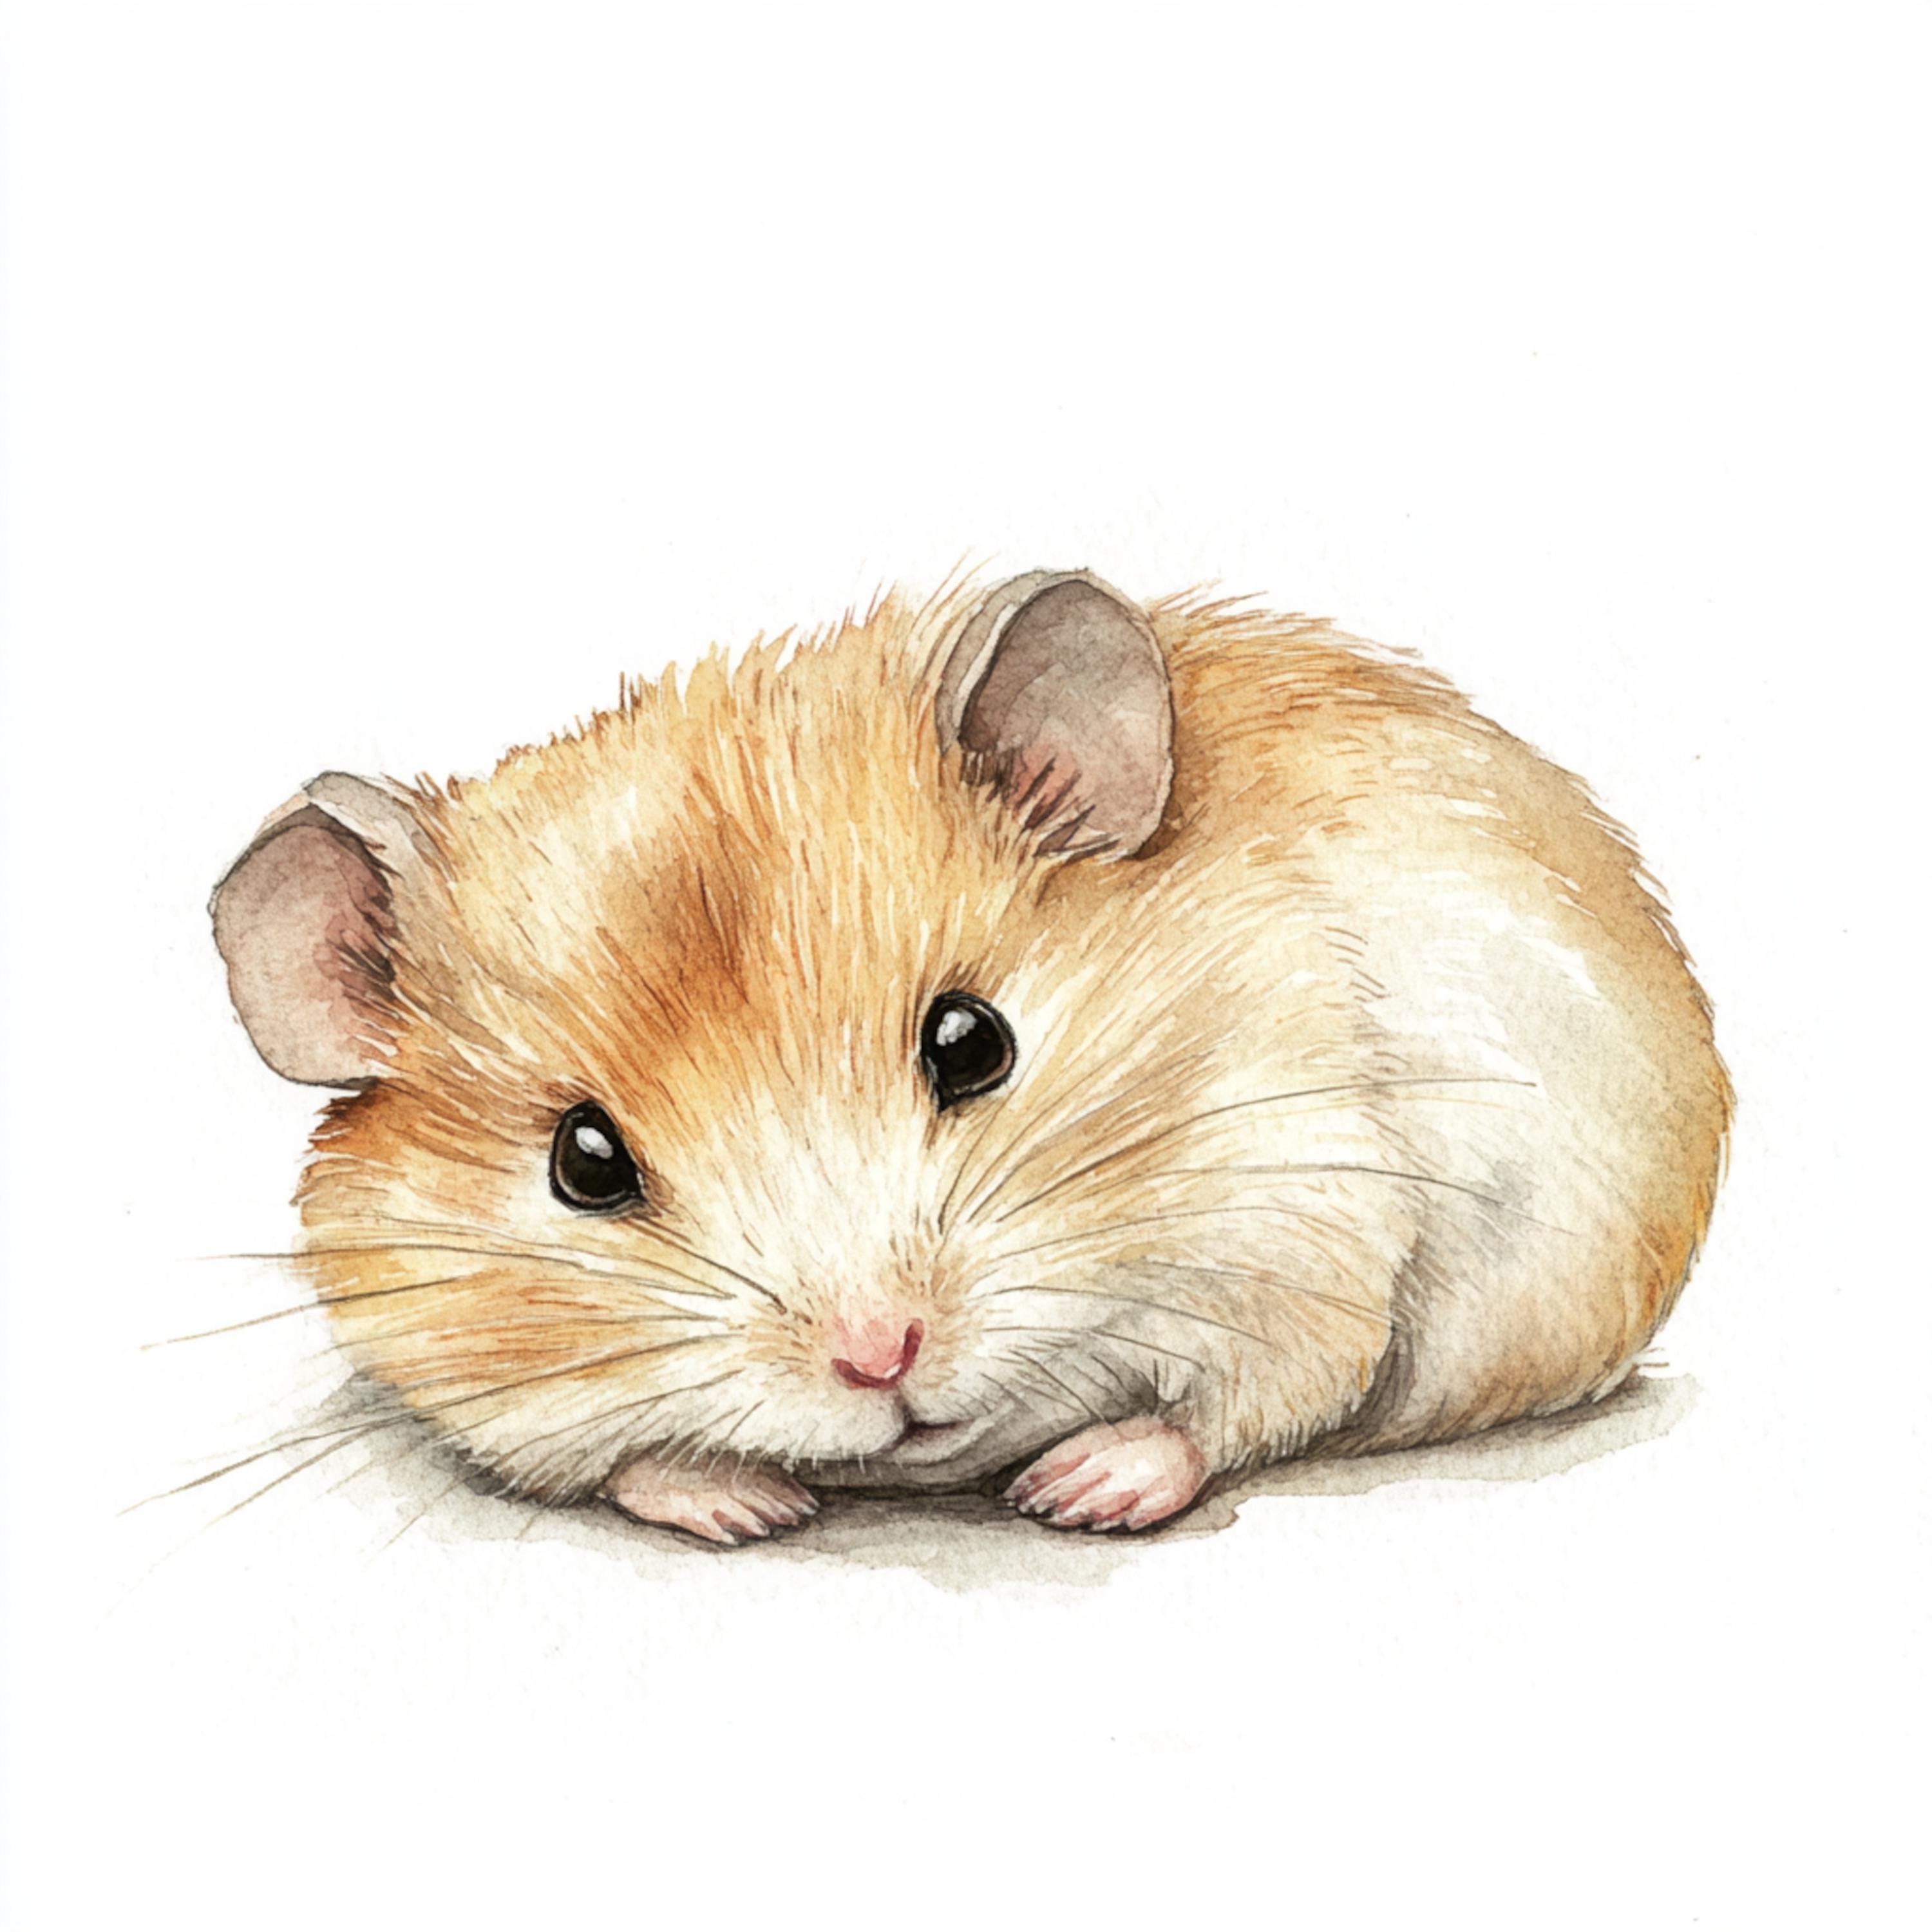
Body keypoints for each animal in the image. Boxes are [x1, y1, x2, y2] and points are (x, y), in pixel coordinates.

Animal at [210, 570, 1730, 1542]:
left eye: (971, 1043)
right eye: (584, 1163)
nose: (880, 1357)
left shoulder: (1313, 1222)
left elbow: (1244, 1406)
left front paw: (1077, 1490)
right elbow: (611, 1457)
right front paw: (745, 1504)